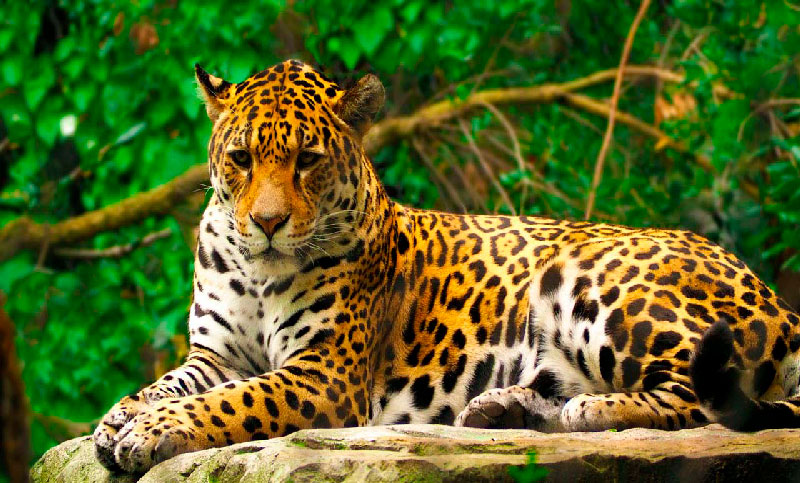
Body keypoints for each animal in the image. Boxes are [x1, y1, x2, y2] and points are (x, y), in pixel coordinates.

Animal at [93, 59, 800, 473]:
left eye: (307, 161)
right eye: (241, 159)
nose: (266, 223)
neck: (259, 271)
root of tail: (777, 300)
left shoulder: (324, 374)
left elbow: (232, 402)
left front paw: (150, 430)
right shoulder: (215, 354)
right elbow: (173, 384)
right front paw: (119, 415)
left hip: (594, 284)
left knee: (705, 398)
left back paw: (589, 412)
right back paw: (502, 409)